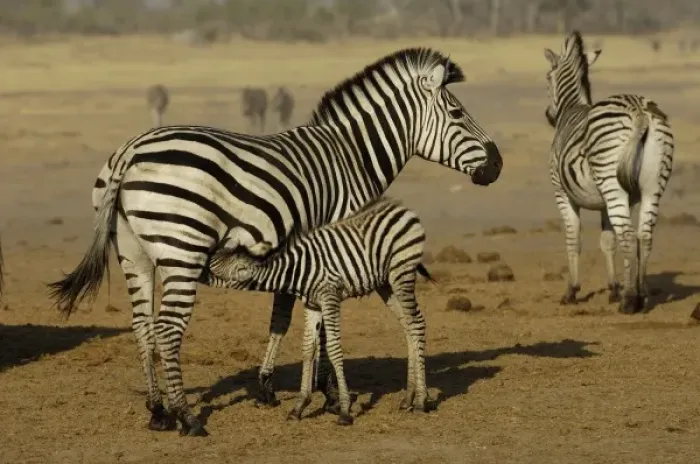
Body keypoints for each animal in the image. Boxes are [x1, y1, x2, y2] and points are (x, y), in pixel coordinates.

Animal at [201, 197, 435, 425]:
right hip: (386, 284)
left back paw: (421, 401)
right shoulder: (312, 304)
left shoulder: (329, 297)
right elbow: (307, 348)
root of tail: (403, 209)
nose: (200, 267)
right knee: (408, 327)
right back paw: (408, 398)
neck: (298, 271)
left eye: (213, 269)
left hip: (402, 273)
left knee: (417, 324)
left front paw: (344, 410)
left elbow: (333, 348)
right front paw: (299, 406)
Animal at [543, 31, 673, 314]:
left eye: (547, 79)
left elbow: (574, 238)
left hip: (613, 182)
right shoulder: (603, 202)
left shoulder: (561, 193)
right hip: (652, 185)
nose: (549, 116)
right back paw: (642, 295)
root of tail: (639, 110)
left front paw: (572, 291)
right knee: (644, 235)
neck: (571, 108)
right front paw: (613, 288)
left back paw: (630, 300)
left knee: (628, 234)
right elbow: (607, 241)